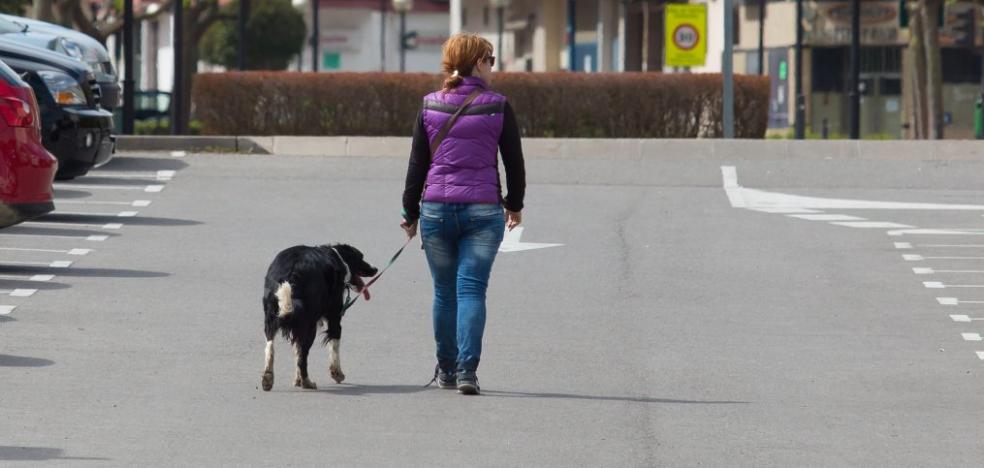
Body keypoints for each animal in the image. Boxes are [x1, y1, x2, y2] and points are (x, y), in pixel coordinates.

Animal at [262, 245, 376, 392]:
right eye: (361, 257)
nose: (375, 269)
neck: (338, 257)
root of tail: (291, 273)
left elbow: (296, 350)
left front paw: (297, 380)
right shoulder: (334, 318)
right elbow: (334, 345)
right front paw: (337, 374)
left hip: (271, 320)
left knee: (270, 348)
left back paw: (267, 379)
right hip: (309, 326)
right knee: (303, 357)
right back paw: (307, 383)